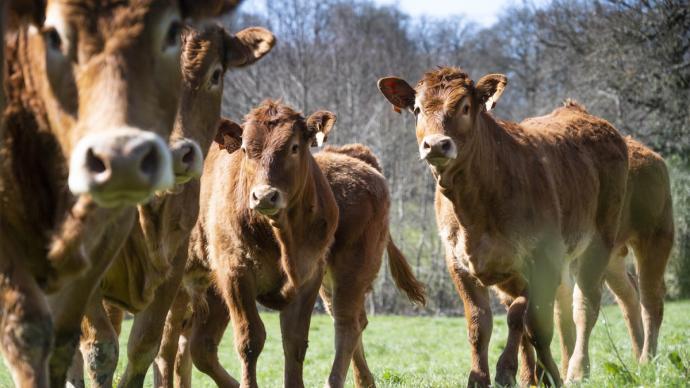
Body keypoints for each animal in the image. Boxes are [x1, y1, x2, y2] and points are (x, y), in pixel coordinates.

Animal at [376, 66, 628, 384]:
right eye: (418, 109)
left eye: (465, 107)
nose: (435, 144)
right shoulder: (459, 264)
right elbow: (480, 324)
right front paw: (482, 377)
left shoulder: (542, 260)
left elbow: (528, 320)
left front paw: (524, 373)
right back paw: (531, 376)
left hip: (599, 242)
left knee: (583, 307)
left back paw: (576, 371)